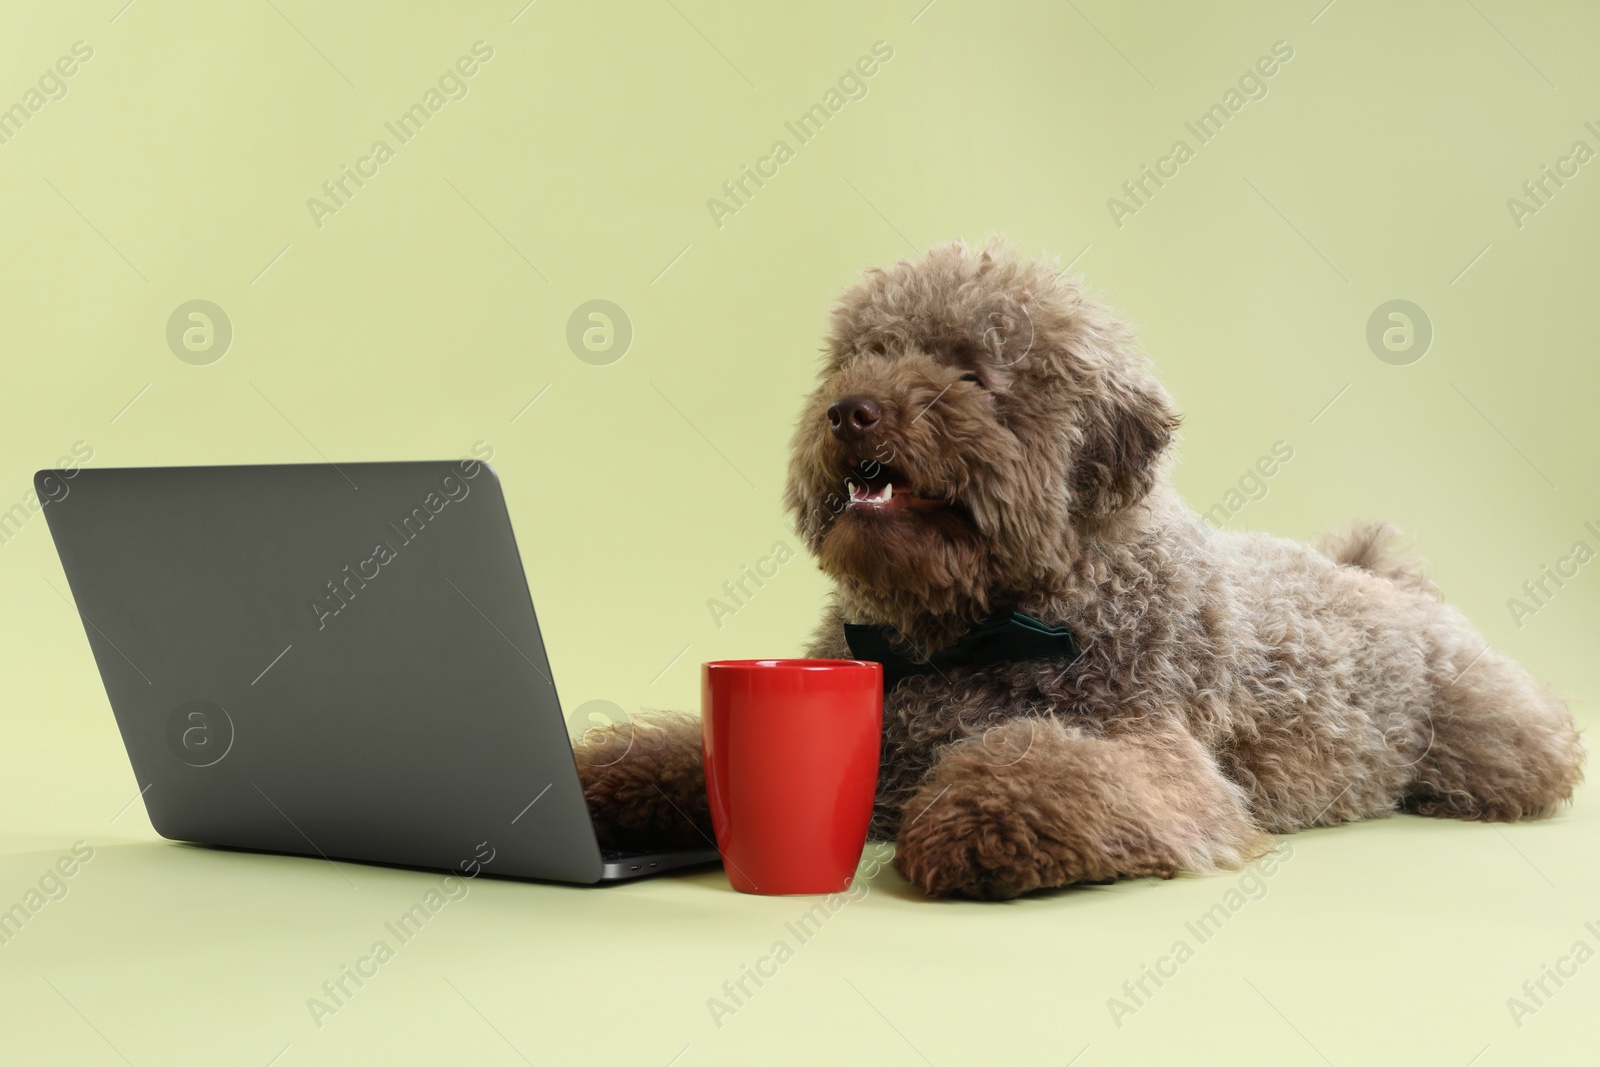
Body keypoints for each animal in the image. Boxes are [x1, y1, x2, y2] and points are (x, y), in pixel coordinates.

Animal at [579, 239, 1587, 902]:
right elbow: (681, 756)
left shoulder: (1163, 764)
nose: (850, 411)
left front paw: (969, 825)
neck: (969, 631)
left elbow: (1047, 769)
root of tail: (1385, 576)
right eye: (862, 356)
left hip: (1495, 738)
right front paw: (603, 781)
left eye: (970, 371)